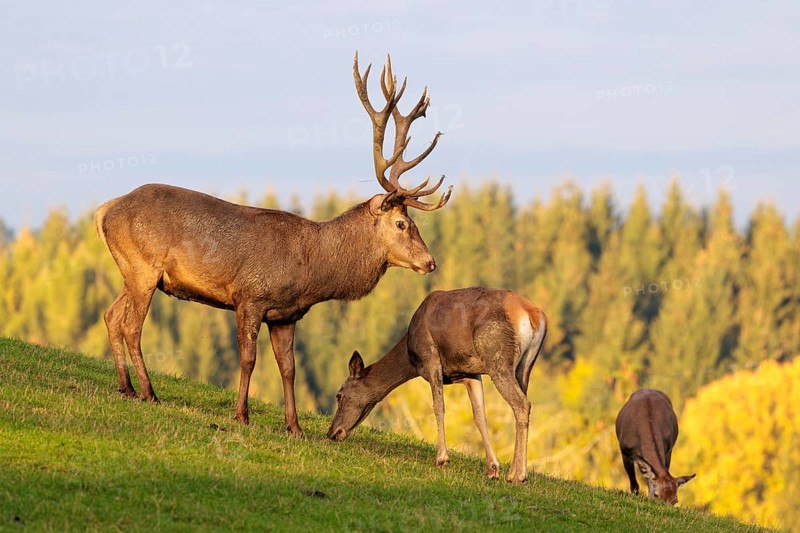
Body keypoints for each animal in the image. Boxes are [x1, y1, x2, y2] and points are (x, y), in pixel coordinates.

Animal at [94, 53, 452, 437]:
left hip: (132, 271)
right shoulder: (249, 296)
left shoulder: (286, 315)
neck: (312, 270)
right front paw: (242, 414)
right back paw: (148, 392)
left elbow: (288, 368)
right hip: (144, 267)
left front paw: (294, 426)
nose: (430, 262)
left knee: (111, 315)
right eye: (402, 224)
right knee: (132, 326)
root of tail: (105, 210)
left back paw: (126, 387)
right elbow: (249, 359)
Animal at [327, 287, 547, 483]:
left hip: (497, 357)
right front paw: (492, 468)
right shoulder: (471, 373)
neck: (410, 356)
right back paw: (514, 472)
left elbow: (438, 407)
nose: (332, 432)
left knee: (522, 404)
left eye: (340, 395)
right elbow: (479, 416)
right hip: (524, 367)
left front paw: (441, 458)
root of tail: (536, 316)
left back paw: (518, 475)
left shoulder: (431, 358)